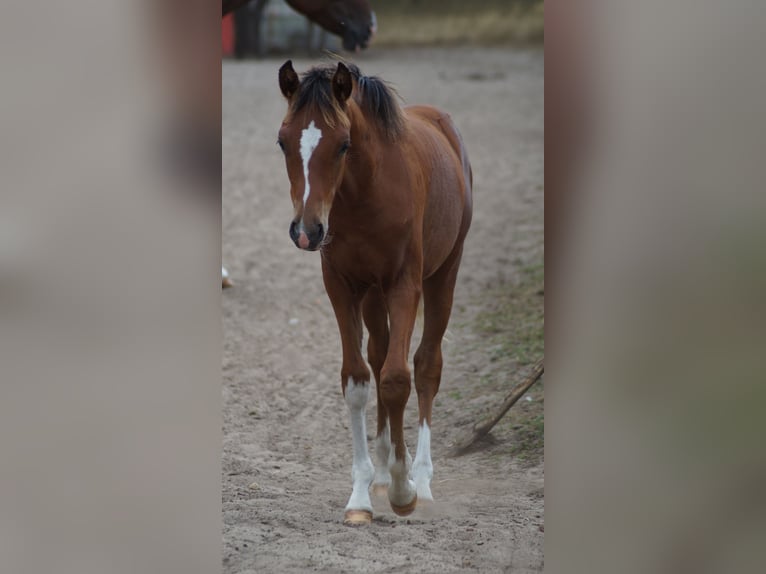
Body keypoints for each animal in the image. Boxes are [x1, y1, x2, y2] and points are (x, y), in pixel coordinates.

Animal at [277, 60, 473, 524]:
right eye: (282, 141)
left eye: (344, 144)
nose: (306, 231)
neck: (364, 195)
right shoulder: (342, 286)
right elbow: (358, 380)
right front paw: (362, 494)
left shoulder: (404, 285)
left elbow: (399, 379)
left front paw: (404, 490)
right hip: (372, 295)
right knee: (379, 354)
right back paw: (383, 471)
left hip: (443, 275)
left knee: (426, 365)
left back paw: (422, 478)